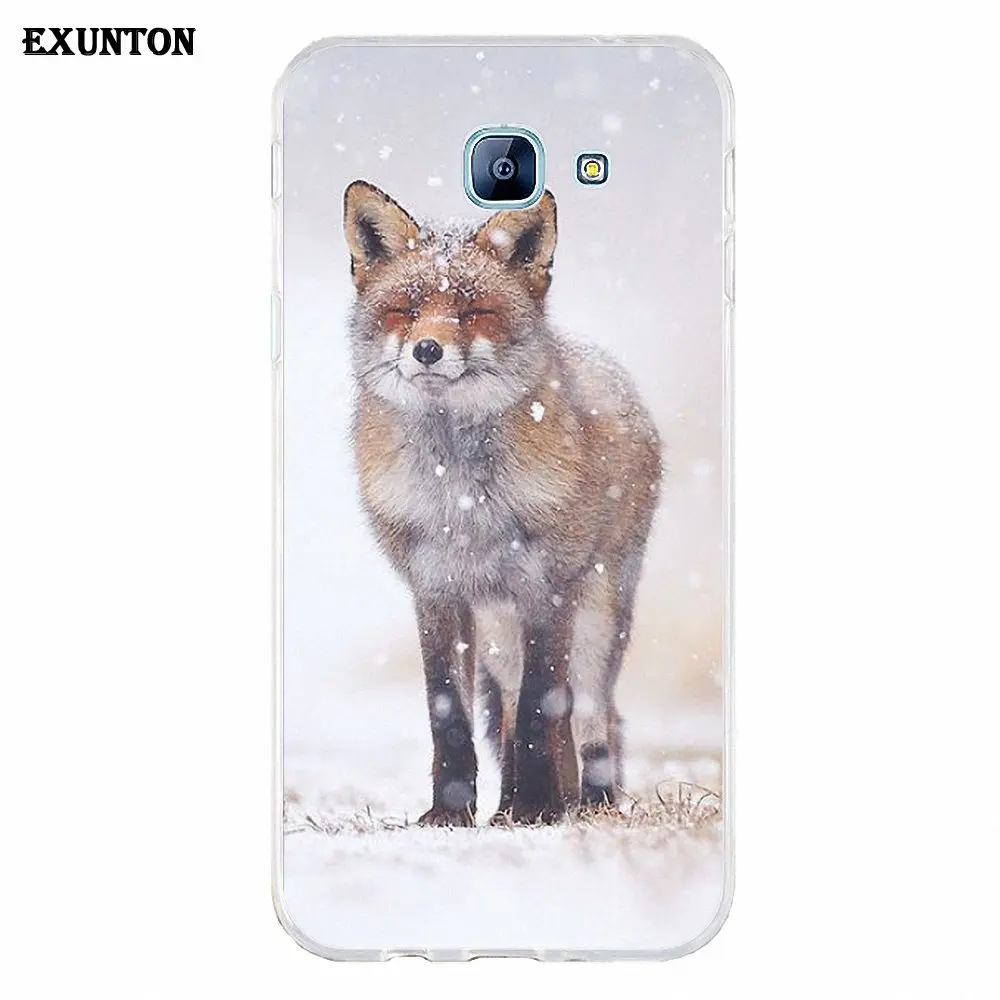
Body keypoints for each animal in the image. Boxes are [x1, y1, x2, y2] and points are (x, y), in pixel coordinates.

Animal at [343, 180, 662, 826]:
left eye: (473, 314)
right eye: (405, 311)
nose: (427, 349)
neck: (462, 499)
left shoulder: (546, 589)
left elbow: (545, 708)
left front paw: (540, 808)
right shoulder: (436, 591)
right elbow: (451, 715)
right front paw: (451, 814)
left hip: (595, 618)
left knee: (591, 715)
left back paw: (583, 803)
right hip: (497, 631)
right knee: (512, 708)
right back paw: (511, 803)